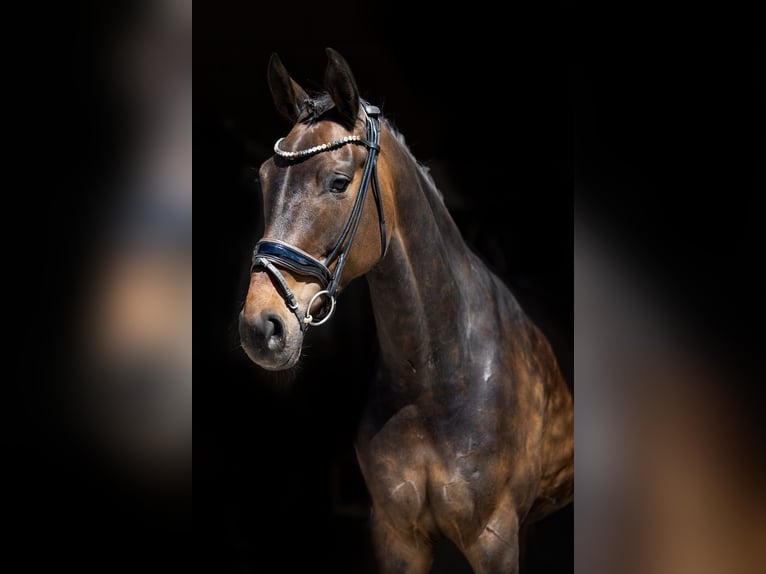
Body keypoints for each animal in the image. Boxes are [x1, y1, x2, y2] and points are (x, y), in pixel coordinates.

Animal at [239, 48, 573, 573]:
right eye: (264, 178)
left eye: (338, 182)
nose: (261, 327)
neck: (438, 376)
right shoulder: (399, 538)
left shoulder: (494, 539)